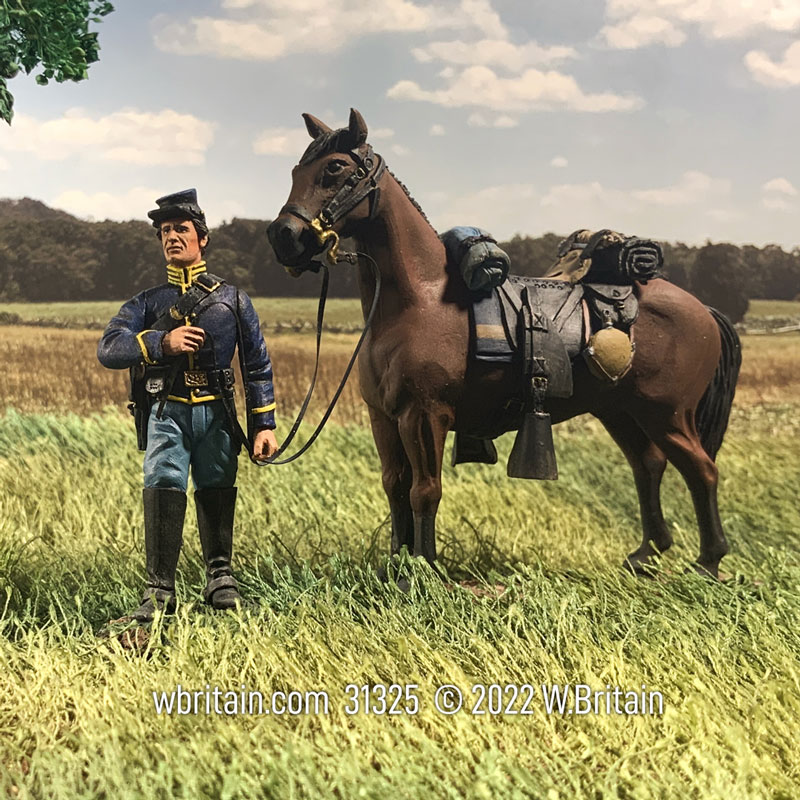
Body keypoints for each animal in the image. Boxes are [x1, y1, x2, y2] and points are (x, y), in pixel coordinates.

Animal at [266, 109, 740, 580]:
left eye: (335, 168)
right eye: (294, 171)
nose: (283, 236)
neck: (417, 301)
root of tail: (703, 310)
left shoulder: (424, 415)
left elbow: (425, 490)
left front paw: (424, 571)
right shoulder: (383, 417)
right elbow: (395, 486)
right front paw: (396, 565)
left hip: (667, 414)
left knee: (702, 470)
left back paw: (708, 562)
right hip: (621, 411)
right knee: (649, 466)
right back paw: (645, 555)